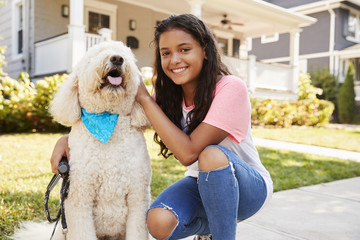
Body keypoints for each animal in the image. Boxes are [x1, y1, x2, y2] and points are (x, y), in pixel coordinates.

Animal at [12, 41, 152, 240]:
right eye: (97, 53)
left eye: (127, 55)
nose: (117, 58)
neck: (106, 121)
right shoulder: (79, 199)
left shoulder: (138, 199)